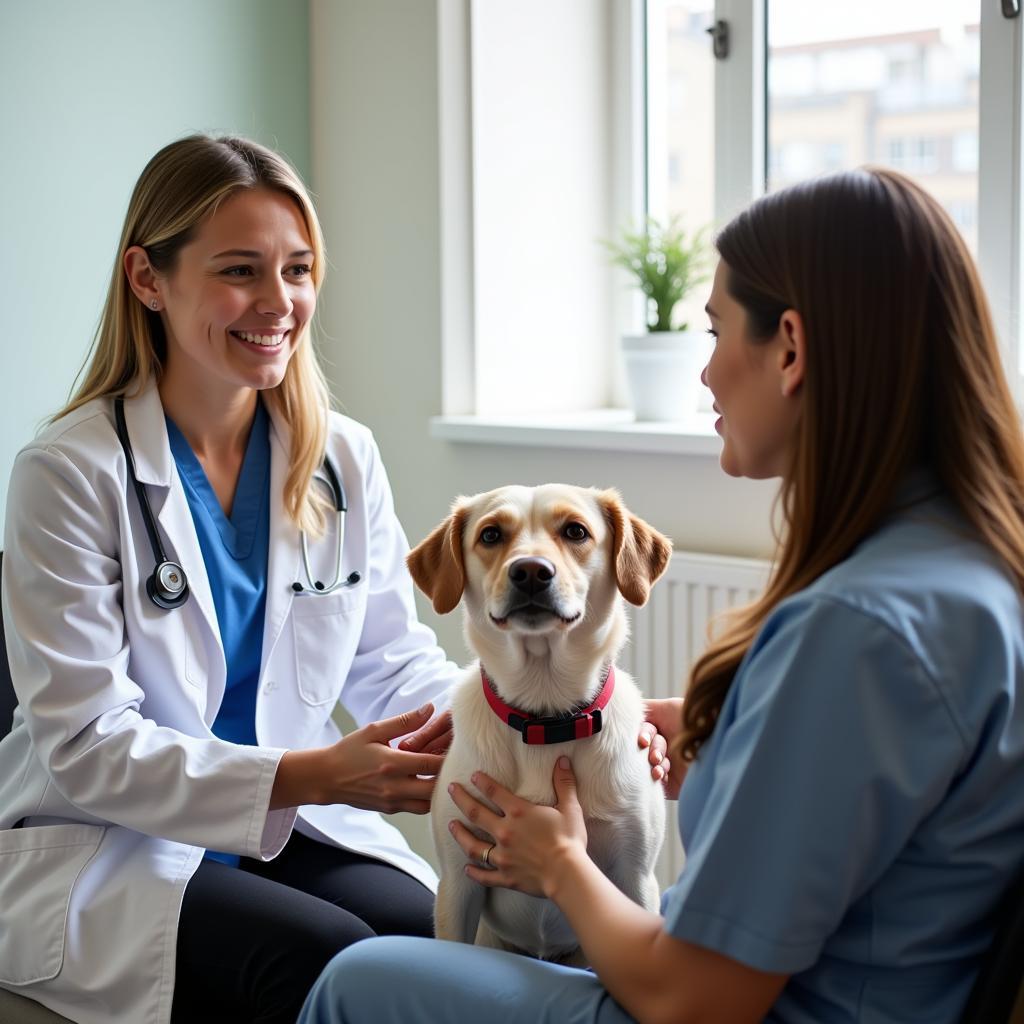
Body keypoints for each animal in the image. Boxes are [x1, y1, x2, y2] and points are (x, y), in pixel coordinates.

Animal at [403, 483, 675, 962]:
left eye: (576, 531)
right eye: (491, 535)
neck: (546, 717)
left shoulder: (636, 879)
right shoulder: (456, 885)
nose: (530, 571)